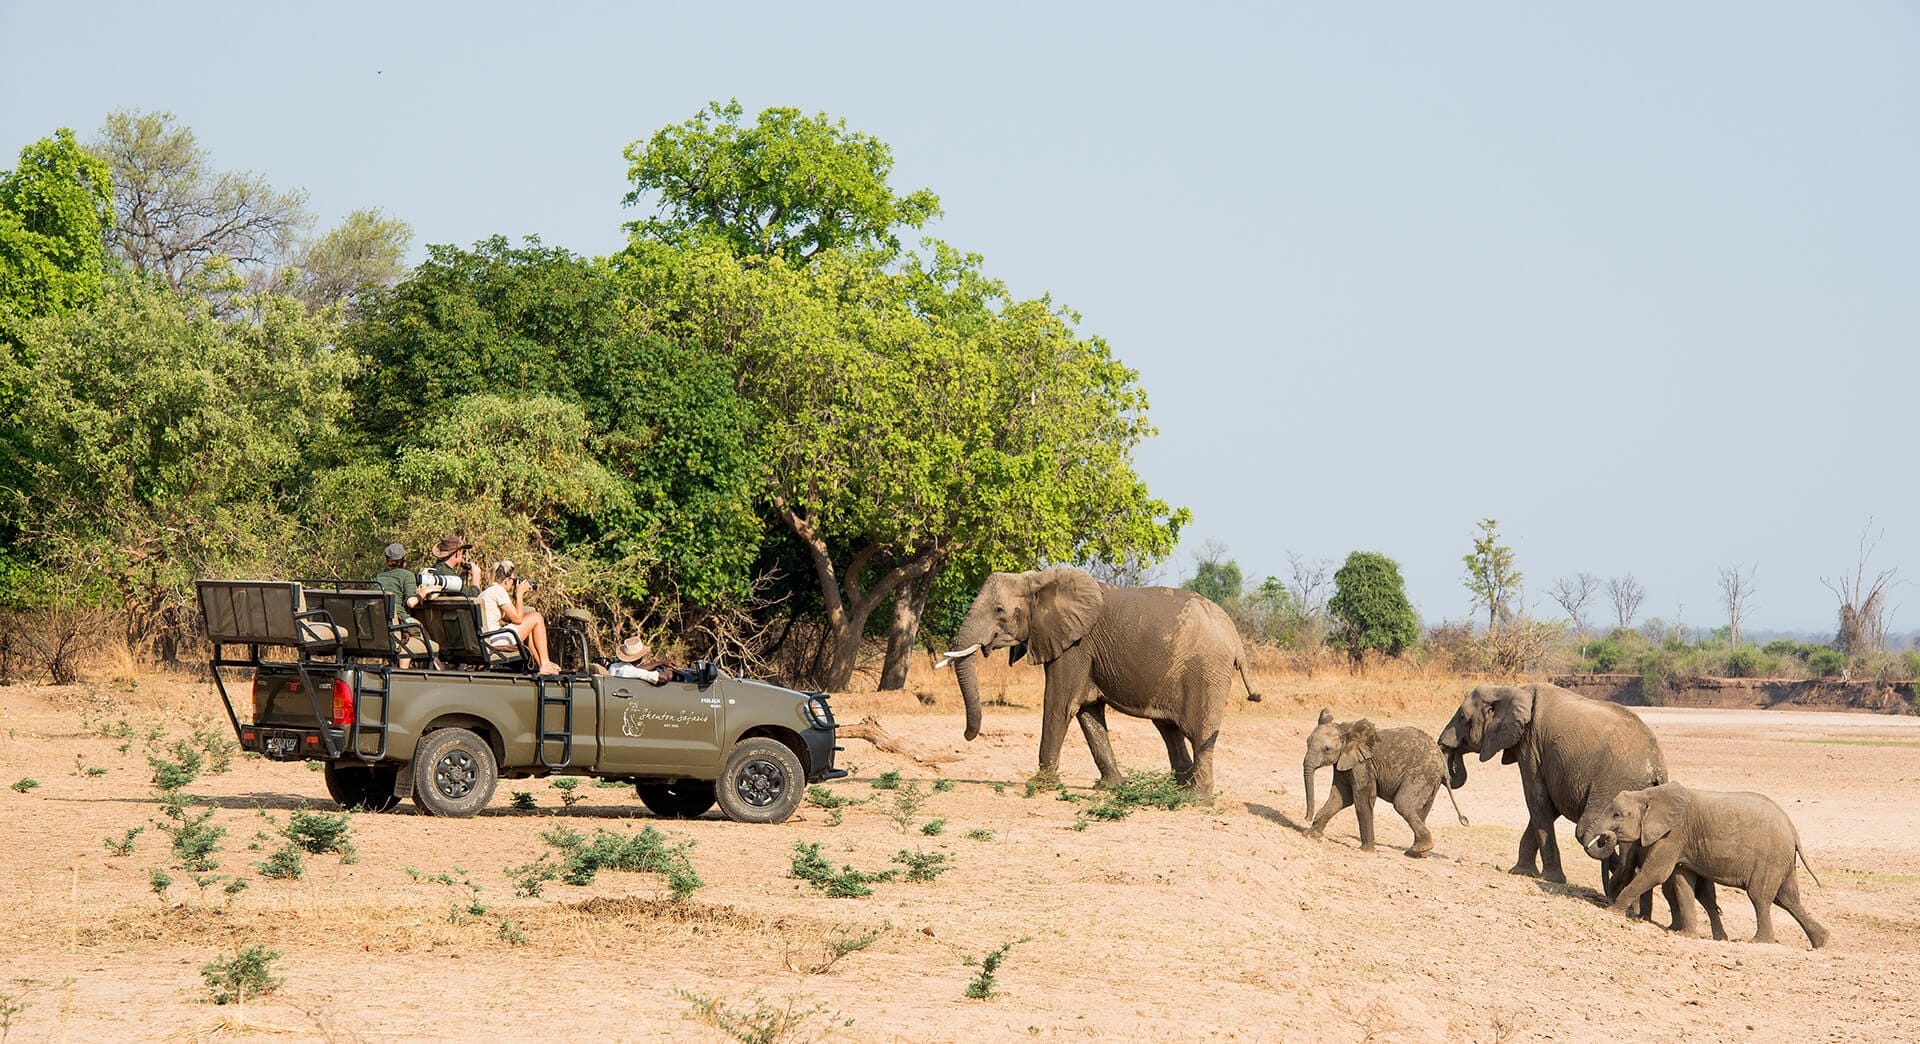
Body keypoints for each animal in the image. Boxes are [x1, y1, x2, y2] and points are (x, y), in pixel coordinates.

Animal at [937, 567, 1258, 796]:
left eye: (999, 611)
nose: (967, 736)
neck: (1039, 579)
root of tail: (1235, 638)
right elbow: (1087, 711)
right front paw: (1110, 787)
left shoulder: (1075, 646)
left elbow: (1061, 704)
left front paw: (1038, 785)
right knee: (1169, 730)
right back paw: (1179, 790)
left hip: (1206, 671)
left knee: (1198, 731)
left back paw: (1195, 798)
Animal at [1301, 710, 1465, 857]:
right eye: (1307, 742)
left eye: (1327, 749)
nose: (1306, 818)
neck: (1346, 730)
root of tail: (1443, 765)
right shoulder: (1345, 762)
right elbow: (1340, 797)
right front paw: (1309, 835)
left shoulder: (1362, 765)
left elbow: (1362, 798)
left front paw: (1366, 851)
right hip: (1430, 782)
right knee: (1420, 811)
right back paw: (1417, 853)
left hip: (1421, 775)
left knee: (1403, 804)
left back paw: (1419, 850)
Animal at [1584, 782, 1829, 948]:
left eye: (1617, 815)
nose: (1605, 836)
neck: (1649, 794)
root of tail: (1793, 829)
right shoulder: (1680, 842)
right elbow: (1682, 882)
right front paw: (1684, 935)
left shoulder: (1673, 835)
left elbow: (1655, 874)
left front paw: (1613, 912)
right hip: (1782, 860)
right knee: (1787, 898)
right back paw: (1821, 941)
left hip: (1770, 858)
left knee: (1760, 897)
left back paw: (1758, 942)